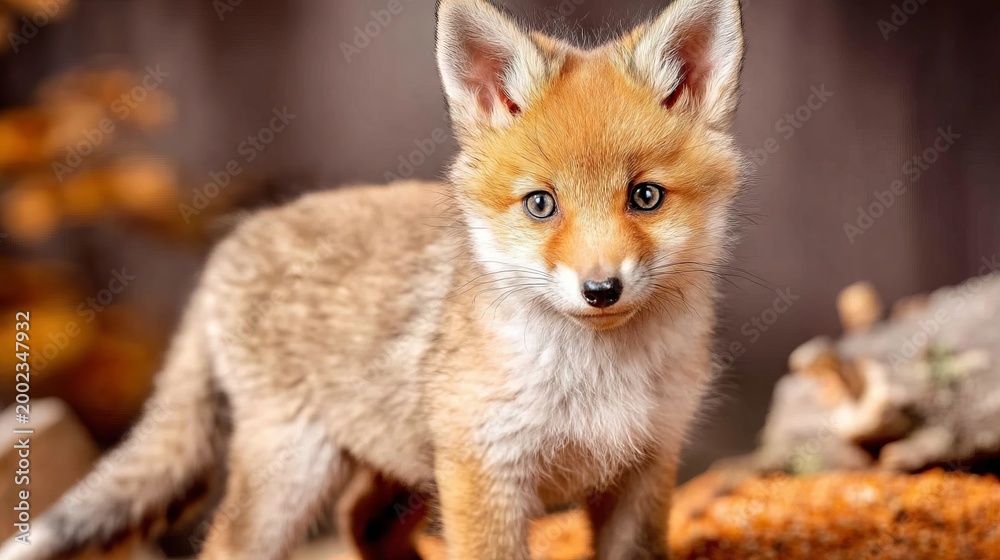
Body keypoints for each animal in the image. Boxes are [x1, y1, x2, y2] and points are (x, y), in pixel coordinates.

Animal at [0, 0, 746, 559]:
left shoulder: (644, 470)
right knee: (236, 544)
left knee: (362, 524)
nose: (600, 291)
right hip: (294, 473)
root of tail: (237, 238)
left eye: (645, 197)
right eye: (541, 204)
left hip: (395, 466)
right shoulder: (485, 474)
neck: (594, 383)